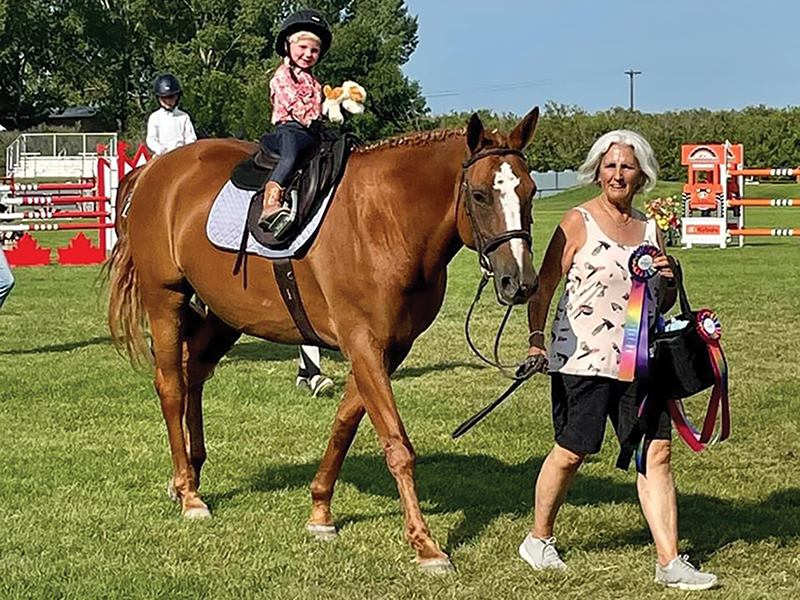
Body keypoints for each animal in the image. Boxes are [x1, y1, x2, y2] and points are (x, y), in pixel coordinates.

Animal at [105, 107, 540, 571]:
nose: (520, 282)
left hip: (225, 315)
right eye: (479, 195)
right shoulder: (364, 344)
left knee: (194, 374)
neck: (385, 218)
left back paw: (189, 472)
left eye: (530, 192)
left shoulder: (386, 350)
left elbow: (345, 424)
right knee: (171, 386)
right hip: (164, 300)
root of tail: (154, 170)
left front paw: (320, 511)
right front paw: (425, 544)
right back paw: (189, 493)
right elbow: (397, 445)